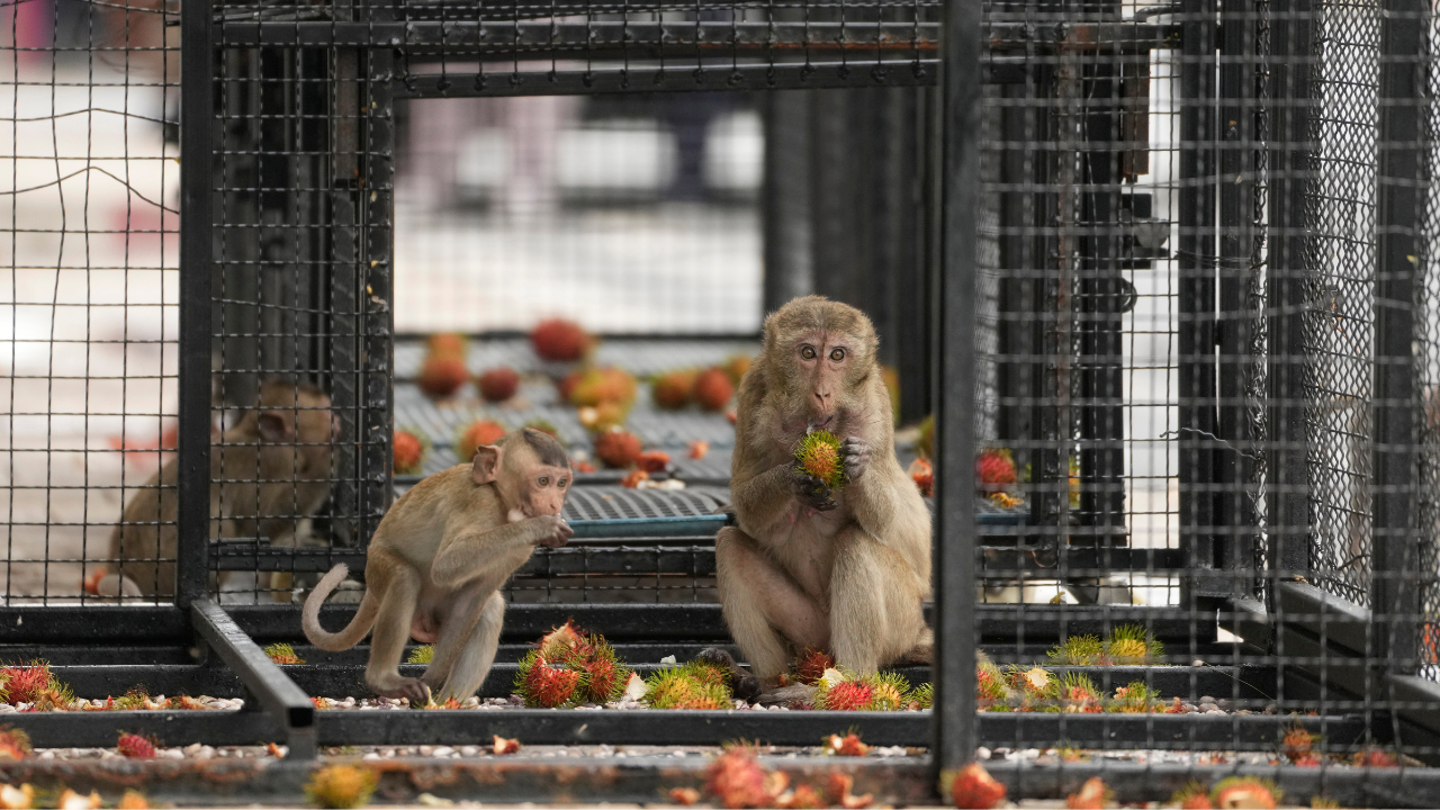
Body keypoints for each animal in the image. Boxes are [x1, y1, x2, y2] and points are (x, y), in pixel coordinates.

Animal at [97, 374, 341, 596]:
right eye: (325, 412)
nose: (337, 419)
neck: (257, 436)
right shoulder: (272, 460)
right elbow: (259, 523)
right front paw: (326, 464)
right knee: (225, 526)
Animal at [303, 429, 573, 700]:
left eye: (561, 483)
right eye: (542, 481)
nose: (555, 505)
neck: (502, 502)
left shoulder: (520, 552)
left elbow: (473, 598)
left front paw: (432, 681)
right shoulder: (479, 502)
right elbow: (447, 565)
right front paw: (541, 526)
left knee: (490, 610)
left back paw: (450, 702)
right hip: (378, 570)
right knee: (404, 577)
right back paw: (383, 680)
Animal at [711, 296, 933, 686]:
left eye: (838, 355)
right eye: (808, 352)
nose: (823, 392)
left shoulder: (875, 408)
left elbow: (886, 518)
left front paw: (857, 466)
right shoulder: (752, 392)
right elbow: (746, 508)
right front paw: (794, 477)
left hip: (902, 621)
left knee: (856, 543)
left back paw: (851, 682)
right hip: (808, 629)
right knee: (729, 546)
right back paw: (768, 683)